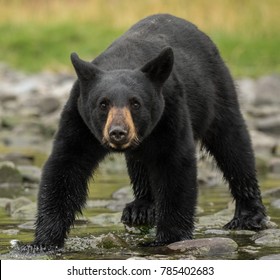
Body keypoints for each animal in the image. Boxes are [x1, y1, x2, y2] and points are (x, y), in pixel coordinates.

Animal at [32, 14, 266, 248]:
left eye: (136, 103)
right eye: (103, 104)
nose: (118, 132)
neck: (123, 61)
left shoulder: (169, 111)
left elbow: (175, 166)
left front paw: (168, 238)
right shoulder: (79, 118)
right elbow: (66, 166)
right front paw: (43, 241)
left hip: (218, 94)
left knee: (234, 147)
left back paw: (248, 216)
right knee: (139, 164)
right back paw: (140, 208)